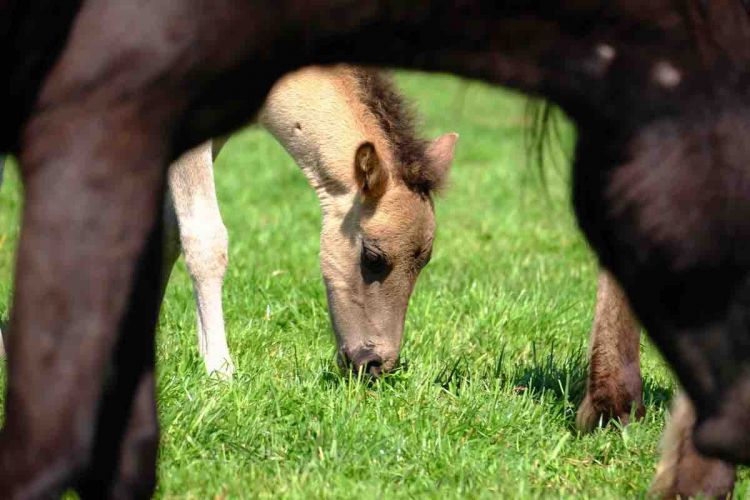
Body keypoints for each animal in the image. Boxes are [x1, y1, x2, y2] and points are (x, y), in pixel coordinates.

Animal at [1, 0, 750, 498]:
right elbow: (204, 238)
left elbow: (157, 238)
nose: (376, 365)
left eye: (427, 262)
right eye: (374, 259)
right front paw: (219, 372)